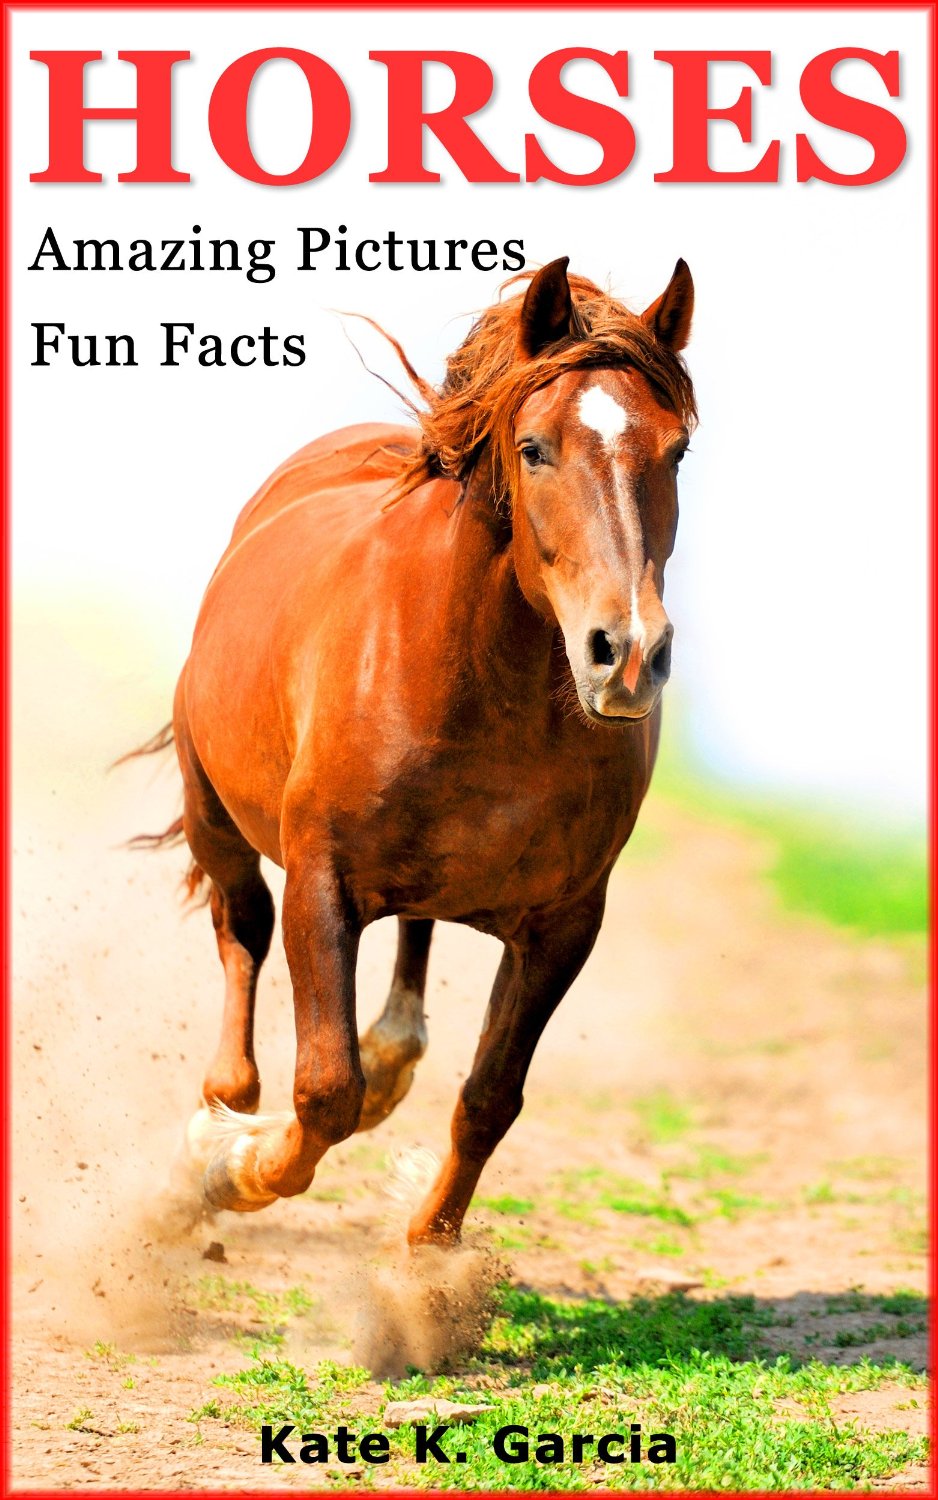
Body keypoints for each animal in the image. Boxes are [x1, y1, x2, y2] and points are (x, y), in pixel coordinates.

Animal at [129, 256, 696, 1246]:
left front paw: (428, 1259)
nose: (627, 655)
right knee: (242, 936)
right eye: (536, 447)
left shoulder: (565, 926)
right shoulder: (322, 881)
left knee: (410, 964)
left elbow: (490, 1099)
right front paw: (232, 1170)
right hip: (217, 820)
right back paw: (214, 1131)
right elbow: (324, 1089)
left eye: (677, 452)